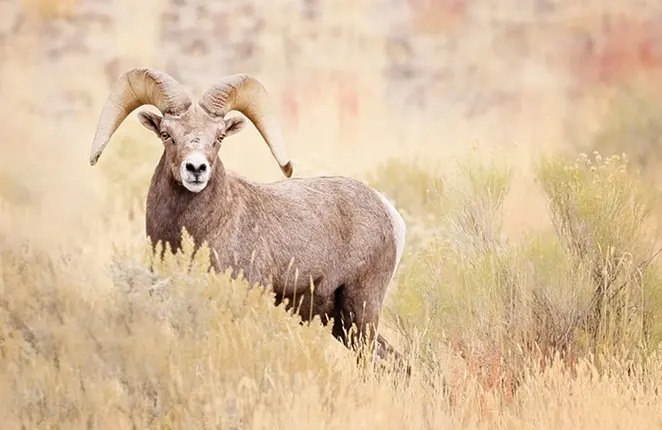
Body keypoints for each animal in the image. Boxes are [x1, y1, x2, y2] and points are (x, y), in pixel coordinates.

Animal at [89, 67, 408, 367]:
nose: (196, 169)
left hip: (360, 311)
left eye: (218, 137)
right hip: (339, 321)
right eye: (167, 134)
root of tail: (389, 213)